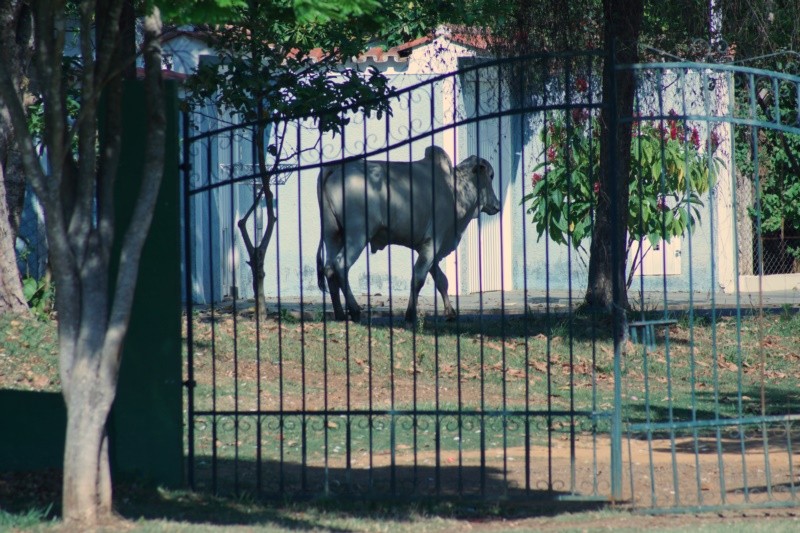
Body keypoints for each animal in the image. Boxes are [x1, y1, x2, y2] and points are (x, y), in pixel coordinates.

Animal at [314, 143, 496, 322]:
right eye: (492, 175)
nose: (497, 204)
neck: (454, 189)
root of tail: (337, 167)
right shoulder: (433, 241)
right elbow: (419, 277)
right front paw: (410, 314)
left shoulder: (426, 247)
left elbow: (440, 280)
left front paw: (450, 312)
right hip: (357, 235)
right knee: (340, 265)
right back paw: (354, 310)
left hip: (332, 235)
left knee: (329, 268)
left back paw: (339, 313)